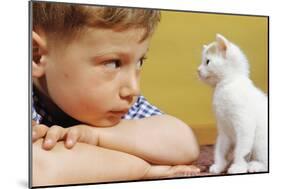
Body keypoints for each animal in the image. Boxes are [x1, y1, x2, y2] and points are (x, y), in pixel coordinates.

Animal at [197, 34, 266, 174]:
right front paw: (219, 165)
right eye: (202, 62)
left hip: (260, 140)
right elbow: (220, 148)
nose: (198, 70)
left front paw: (238, 166)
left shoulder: (244, 125)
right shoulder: (223, 129)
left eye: (207, 61)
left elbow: (241, 150)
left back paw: (255, 165)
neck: (225, 86)